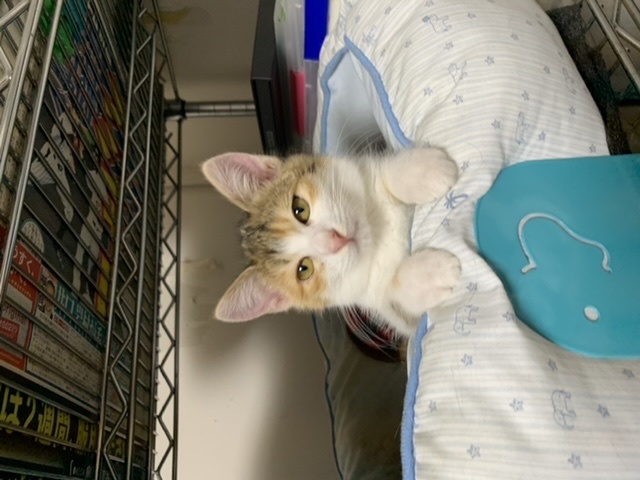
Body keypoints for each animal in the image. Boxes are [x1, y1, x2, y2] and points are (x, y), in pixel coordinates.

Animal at [201, 147, 461, 338]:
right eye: (304, 269)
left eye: (300, 209)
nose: (335, 239)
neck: (378, 230)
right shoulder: (383, 307)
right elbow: (402, 305)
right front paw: (431, 273)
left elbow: (384, 175)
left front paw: (425, 171)